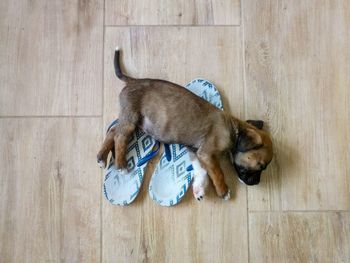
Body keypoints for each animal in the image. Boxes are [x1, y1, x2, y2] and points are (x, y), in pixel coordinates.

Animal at [96, 48, 274, 200]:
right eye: (260, 166)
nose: (256, 183)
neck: (233, 131)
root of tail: (133, 81)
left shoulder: (196, 151)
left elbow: (202, 170)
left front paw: (199, 189)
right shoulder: (207, 153)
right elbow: (218, 172)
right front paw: (223, 190)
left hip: (129, 119)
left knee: (113, 131)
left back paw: (101, 157)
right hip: (131, 118)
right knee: (119, 137)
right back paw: (121, 165)